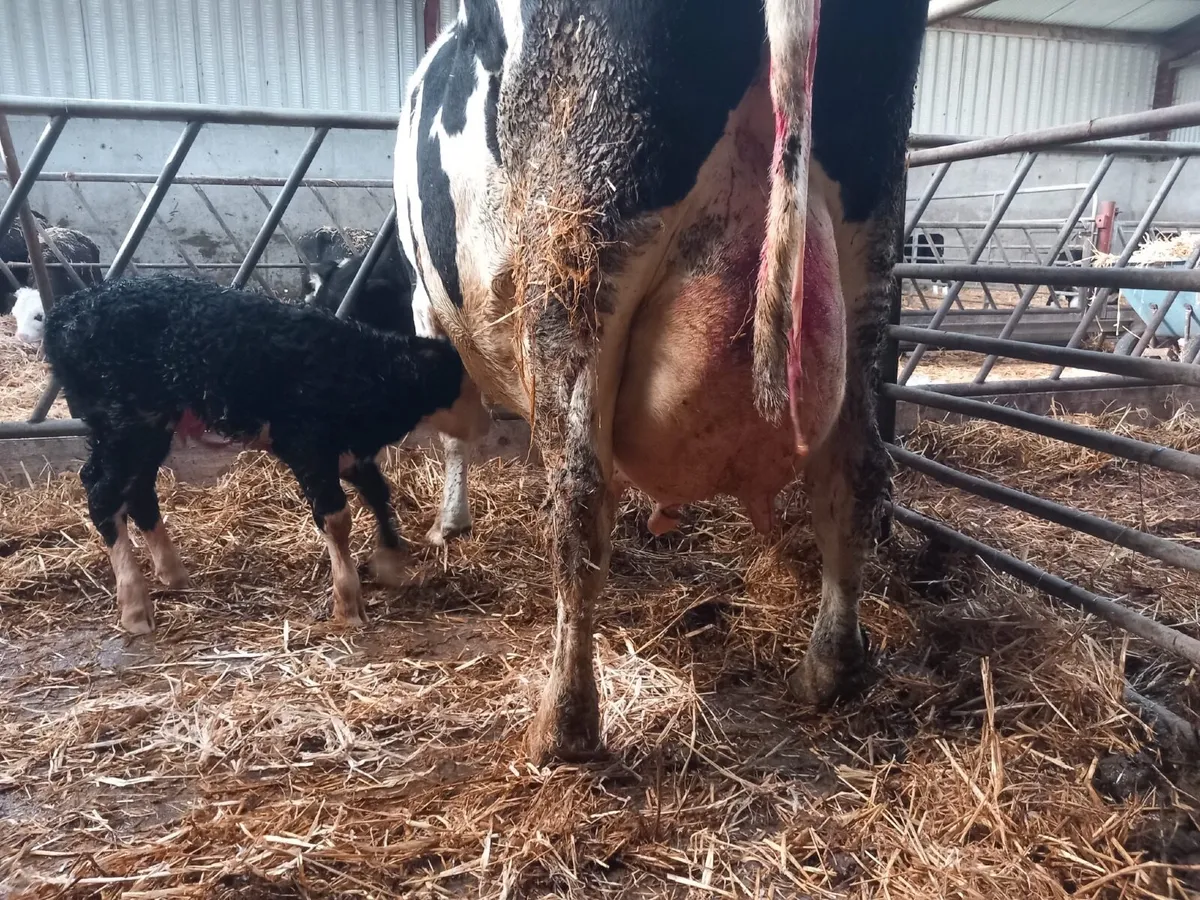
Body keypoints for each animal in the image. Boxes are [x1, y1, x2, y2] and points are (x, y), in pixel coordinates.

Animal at [395, 0, 929, 762]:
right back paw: (830, 669)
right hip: (866, 257)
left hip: (574, 257)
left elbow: (454, 439)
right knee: (855, 478)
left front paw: (449, 523)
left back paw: (563, 727)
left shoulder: (427, 308)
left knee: (579, 503)